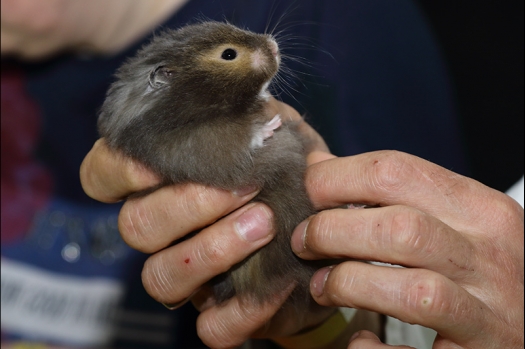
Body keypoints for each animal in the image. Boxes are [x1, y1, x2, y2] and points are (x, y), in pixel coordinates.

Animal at [96, 21, 322, 312]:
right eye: (228, 54)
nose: (273, 45)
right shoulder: (192, 147)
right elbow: (237, 138)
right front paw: (270, 125)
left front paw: (266, 98)